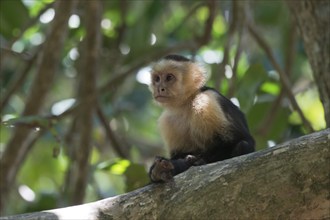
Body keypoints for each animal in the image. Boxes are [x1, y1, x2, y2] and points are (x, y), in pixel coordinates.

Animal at [148, 54, 254, 182]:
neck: (185, 104)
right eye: (157, 79)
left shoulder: (206, 101)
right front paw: (159, 170)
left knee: (243, 145)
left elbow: (236, 140)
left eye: (169, 77)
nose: (160, 88)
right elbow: (178, 154)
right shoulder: (167, 120)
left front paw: (182, 164)